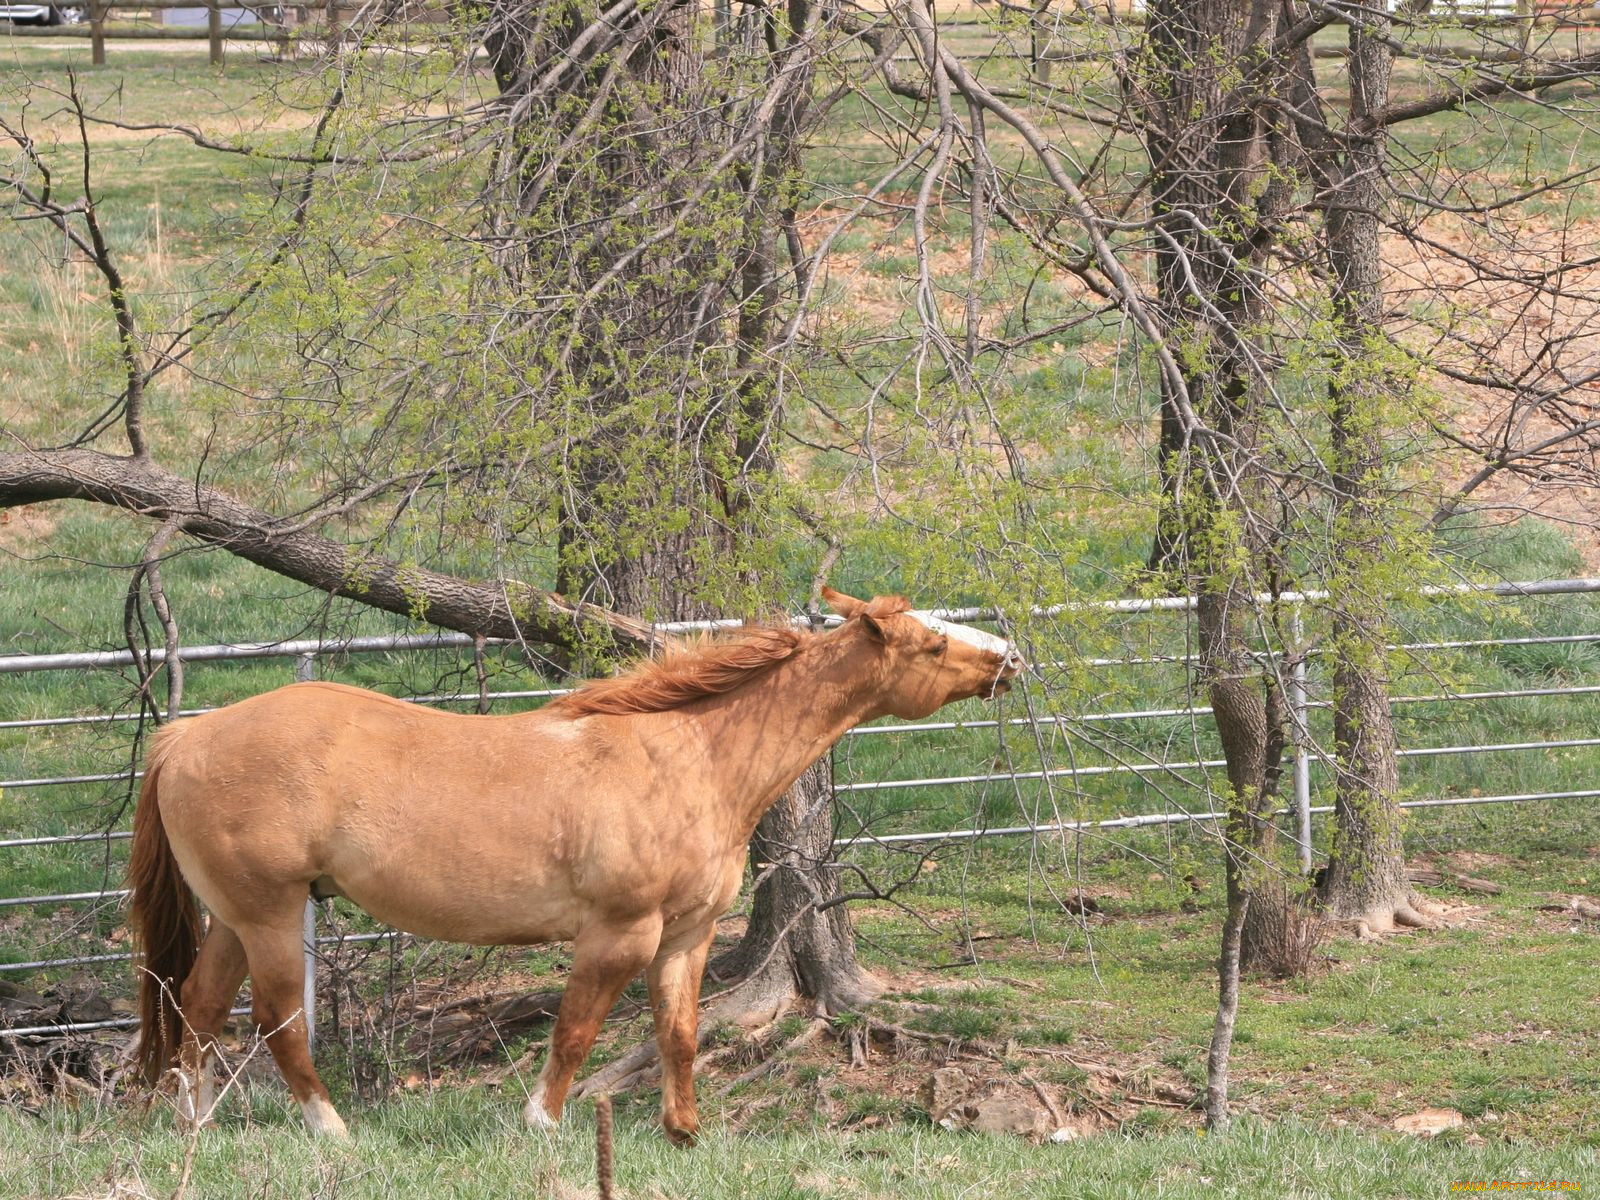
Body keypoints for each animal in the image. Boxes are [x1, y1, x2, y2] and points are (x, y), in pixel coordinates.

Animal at [128, 592, 1024, 1145]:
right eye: (932, 641)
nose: (1010, 655)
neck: (691, 757)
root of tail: (187, 736)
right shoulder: (620, 934)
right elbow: (576, 1032)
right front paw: (541, 1124)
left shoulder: (686, 937)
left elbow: (678, 1033)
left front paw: (684, 1132)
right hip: (272, 916)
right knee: (276, 1020)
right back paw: (332, 1131)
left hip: (236, 920)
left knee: (198, 1008)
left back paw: (193, 1127)